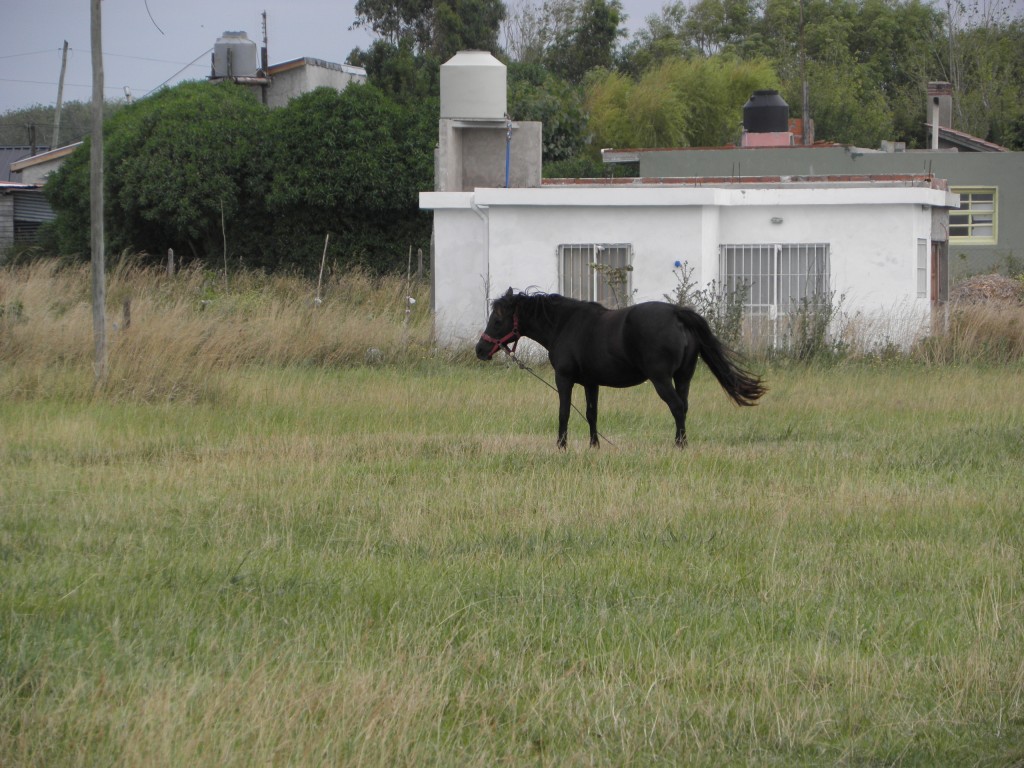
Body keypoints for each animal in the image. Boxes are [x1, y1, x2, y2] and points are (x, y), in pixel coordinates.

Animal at [475, 290, 765, 454]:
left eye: (498, 320)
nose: (480, 349)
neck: (565, 324)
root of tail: (676, 313)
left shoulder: (564, 379)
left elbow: (564, 413)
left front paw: (561, 446)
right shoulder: (591, 383)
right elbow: (591, 413)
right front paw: (594, 446)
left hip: (661, 379)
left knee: (676, 407)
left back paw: (679, 445)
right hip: (684, 377)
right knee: (684, 405)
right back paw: (681, 441)